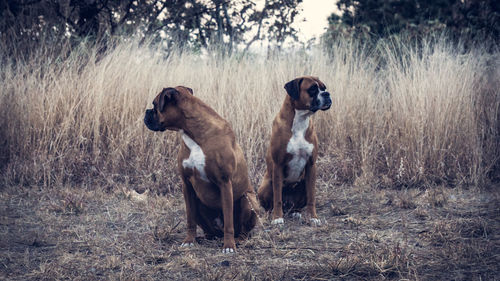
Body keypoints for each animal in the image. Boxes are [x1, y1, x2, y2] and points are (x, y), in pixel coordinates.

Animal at [144, 86, 258, 252]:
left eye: (154, 105)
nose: (146, 112)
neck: (194, 134)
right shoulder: (186, 185)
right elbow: (190, 219)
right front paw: (189, 240)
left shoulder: (225, 183)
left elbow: (228, 221)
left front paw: (229, 246)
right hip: (199, 203)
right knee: (209, 231)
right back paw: (203, 238)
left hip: (247, 200)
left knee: (240, 230)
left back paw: (238, 240)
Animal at [258, 76, 332, 225]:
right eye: (312, 89)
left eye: (324, 88)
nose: (327, 94)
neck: (300, 120)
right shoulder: (278, 165)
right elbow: (277, 198)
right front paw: (277, 218)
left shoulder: (311, 165)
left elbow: (311, 197)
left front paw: (313, 217)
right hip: (266, 185)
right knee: (271, 204)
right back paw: (271, 214)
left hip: (303, 184)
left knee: (296, 205)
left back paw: (296, 213)